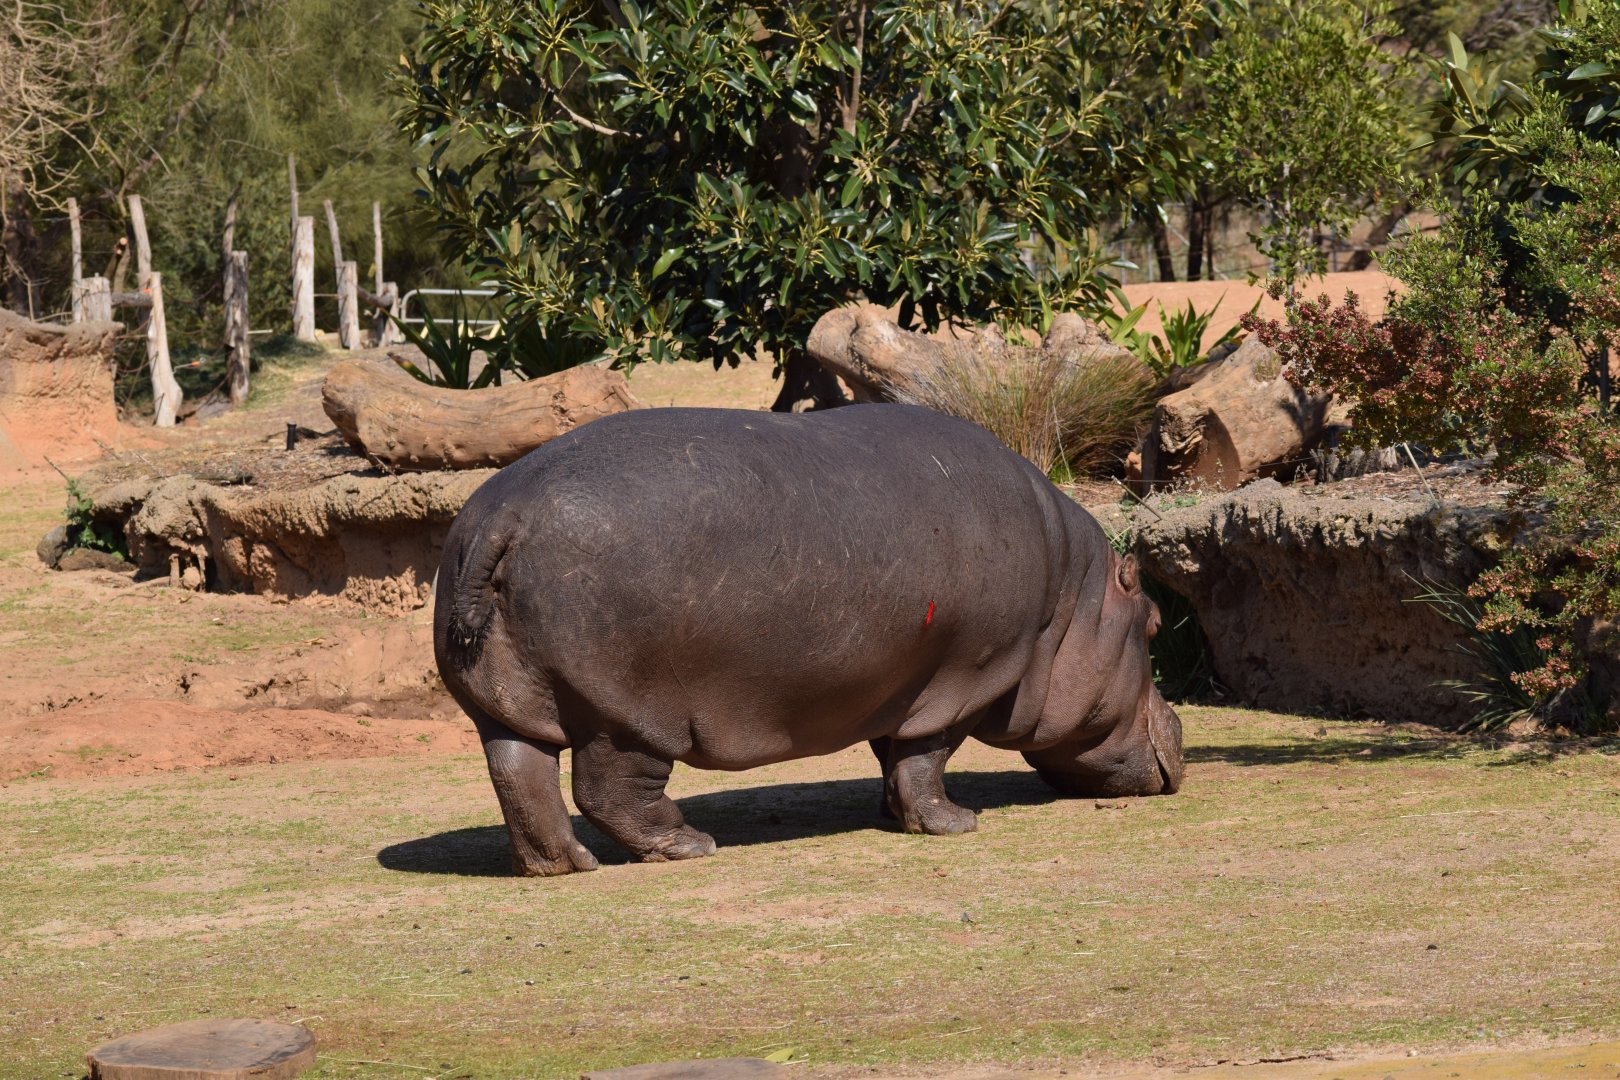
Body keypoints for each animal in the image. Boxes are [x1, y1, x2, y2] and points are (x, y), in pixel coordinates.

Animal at [434, 403, 1183, 876]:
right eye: (1152, 624)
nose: (1179, 728)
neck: (1071, 602)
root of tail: (503, 513)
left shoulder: (898, 677)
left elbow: (891, 755)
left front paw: (892, 814)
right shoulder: (961, 676)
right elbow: (925, 757)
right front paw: (956, 823)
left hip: (507, 700)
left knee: (519, 773)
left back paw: (561, 866)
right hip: (630, 711)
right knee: (607, 788)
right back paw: (689, 846)